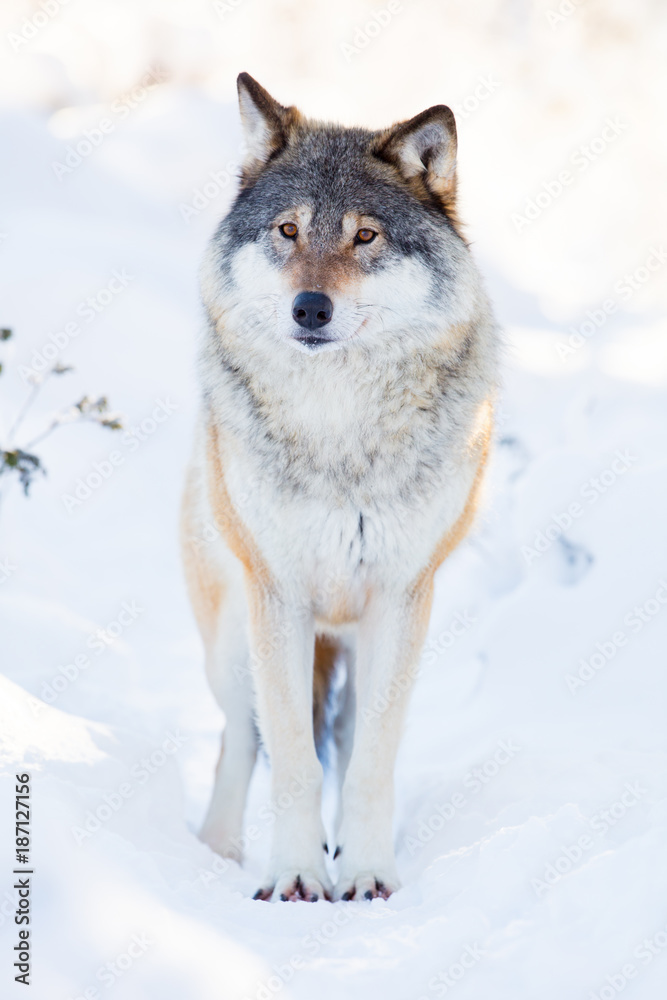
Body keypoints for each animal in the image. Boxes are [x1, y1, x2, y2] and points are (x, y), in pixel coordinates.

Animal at [180, 70, 498, 900]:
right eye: (288, 231)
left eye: (364, 237)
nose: (310, 308)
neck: (339, 435)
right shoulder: (278, 597)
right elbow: (291, 756)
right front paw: (294, 876)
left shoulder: (400, 599)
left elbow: (369, 765)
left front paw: (364, 874)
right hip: (232, 645)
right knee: (240, 739)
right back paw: (218, 852)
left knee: (347, 738)